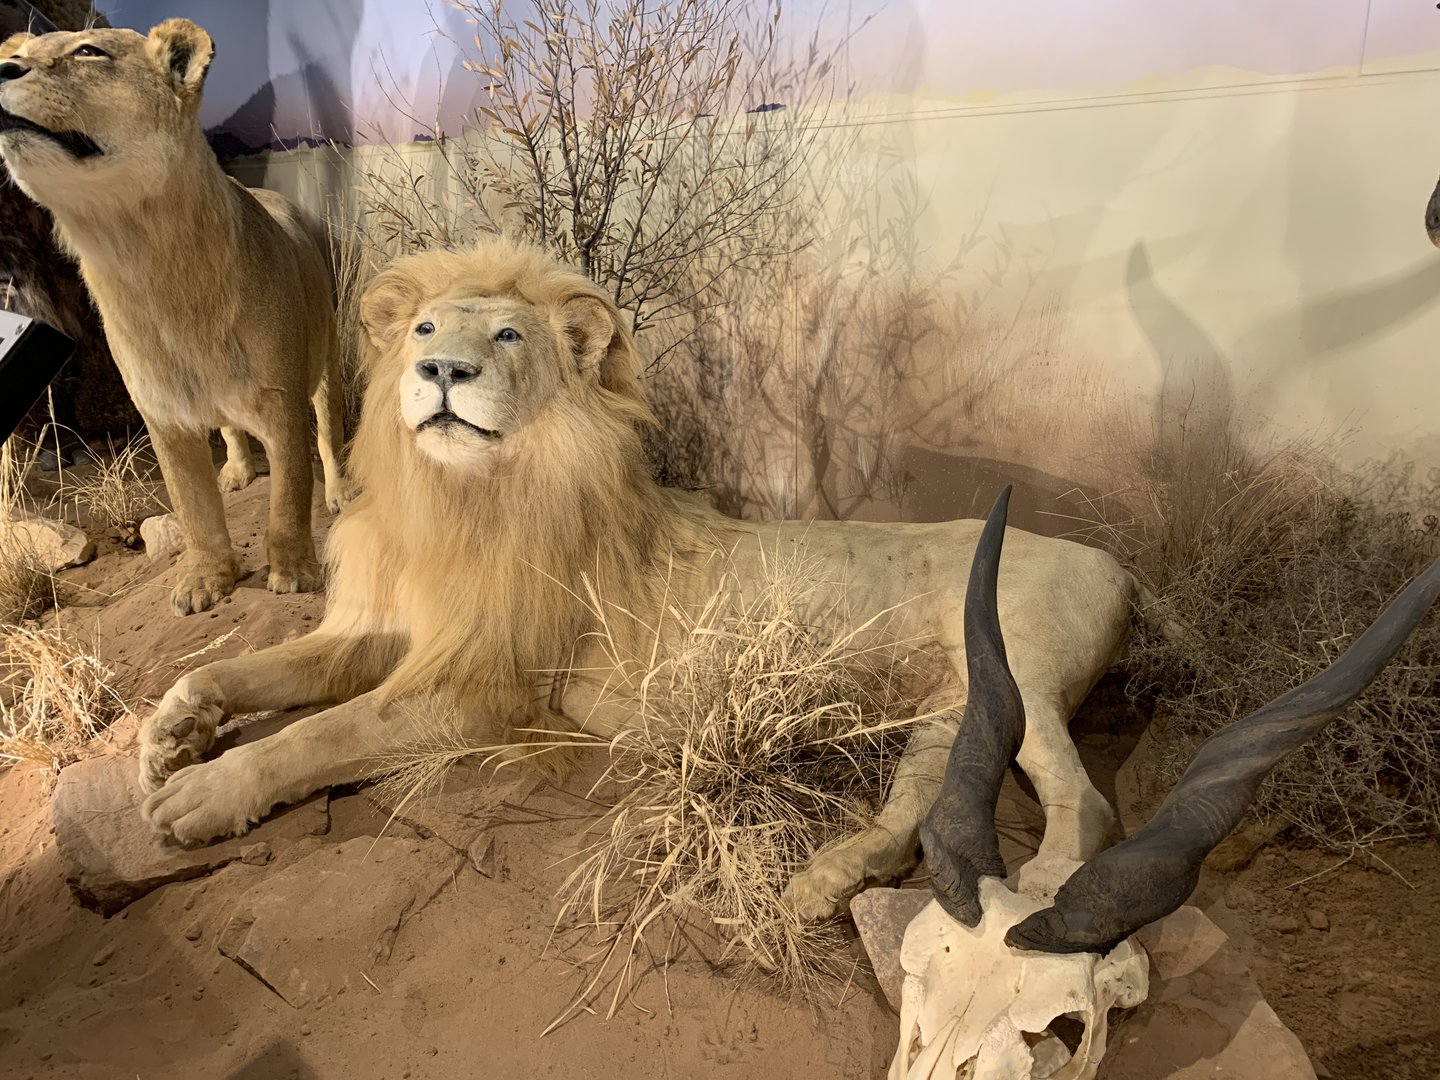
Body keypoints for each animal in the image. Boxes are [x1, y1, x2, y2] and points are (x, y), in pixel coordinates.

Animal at [0, 19, 348, 615]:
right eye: (20, 51)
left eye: (89, 51)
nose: (1, 68)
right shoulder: (161, 414)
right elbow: (193, 508)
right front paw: (206, 579)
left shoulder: (280, 398)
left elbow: (290, 491)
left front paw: (293, 571)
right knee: (229, 429)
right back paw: (237, 470)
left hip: (324, 353)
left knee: (327, 428)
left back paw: (341, 491)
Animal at [137, 238, 1152, 920]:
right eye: (423, 327)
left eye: (508, 335)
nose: (440, 369)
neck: (458, 503)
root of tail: (1117, 563)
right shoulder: (390, 632)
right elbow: (250, 669)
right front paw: (173, 729)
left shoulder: (483, 687)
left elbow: (322, 733)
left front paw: (205, 791)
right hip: (945, 709)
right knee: (916, 807)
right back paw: (828, 881)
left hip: (1016, 669)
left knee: (1089, 800)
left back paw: (1047, 890)